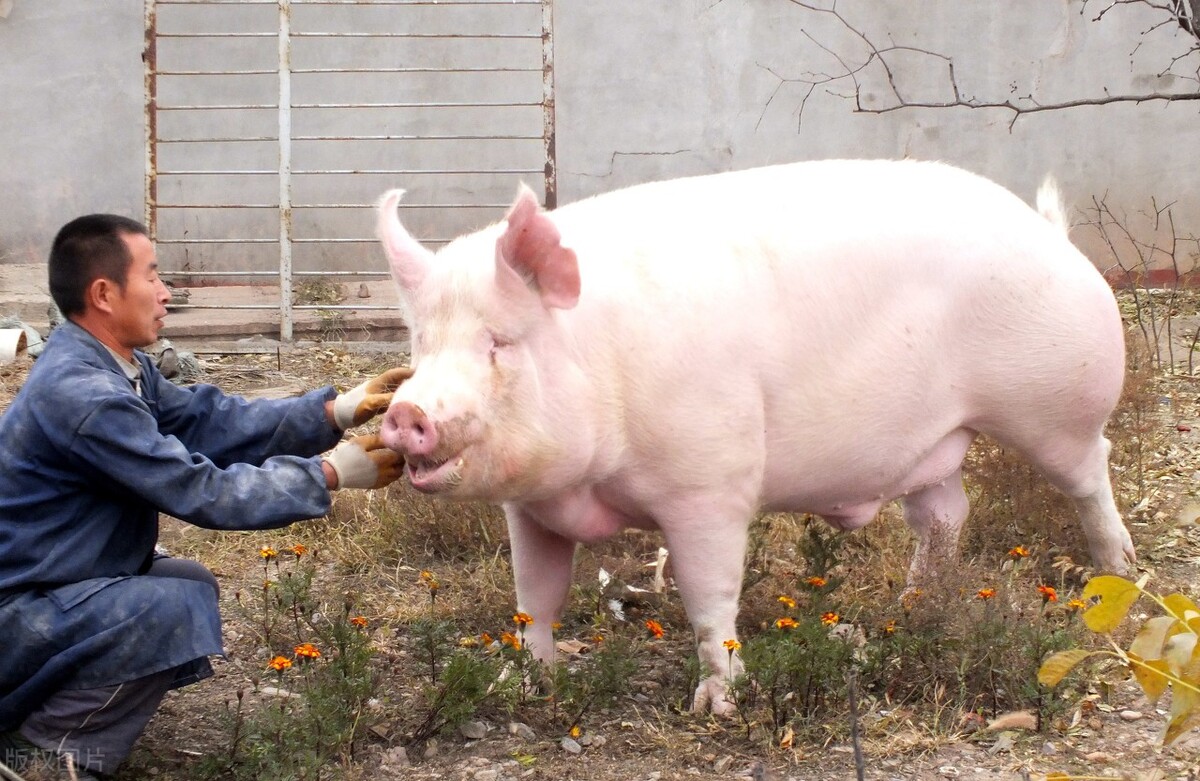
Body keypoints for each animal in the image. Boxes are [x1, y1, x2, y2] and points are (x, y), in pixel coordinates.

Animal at [374, 160, 1132, 715]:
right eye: (423, 341)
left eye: (499, 341)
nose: (406, 412)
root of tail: (1050, 232)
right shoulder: (529, 507)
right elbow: (535, 596)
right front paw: (521, 681)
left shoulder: (709, 485)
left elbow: (708, 598)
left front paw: (717, 704)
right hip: (932, 446)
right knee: (947, 514)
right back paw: (910, 605)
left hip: (1055, 405)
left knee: (1091, 471)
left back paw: (1117, 573)